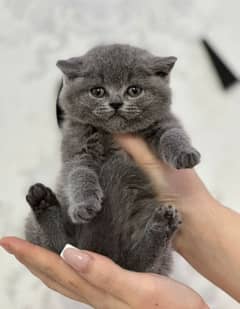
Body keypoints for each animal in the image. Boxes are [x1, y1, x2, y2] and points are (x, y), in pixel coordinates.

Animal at [24, 44, 201, 274]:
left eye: (134, 90)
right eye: (97, 91)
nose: (116, 103)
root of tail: (106, 253)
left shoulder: (165, 122)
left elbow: (172, 134)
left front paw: (185, 153)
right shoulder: (76, 150)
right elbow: (79, 173)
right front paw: (85, 205)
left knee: (140, 265)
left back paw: (163, 224)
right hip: (43, 231)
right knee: (60, 246)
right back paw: (43, 202)